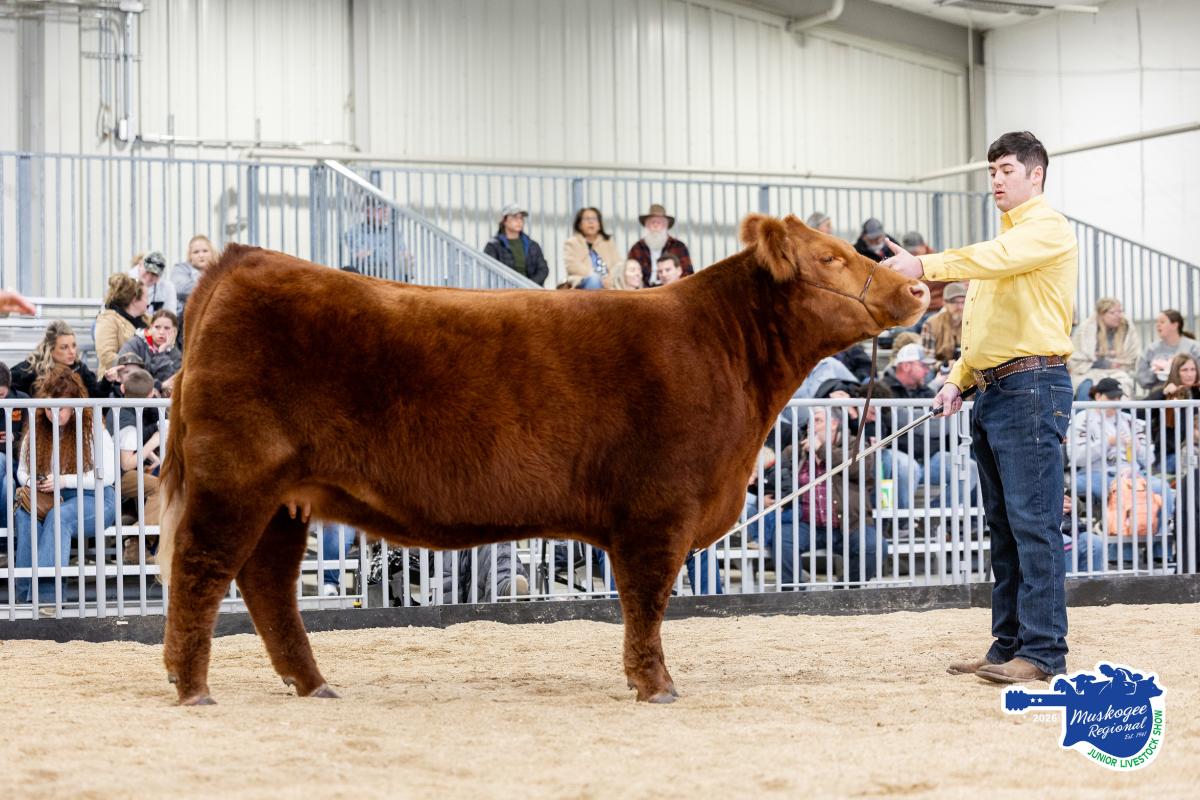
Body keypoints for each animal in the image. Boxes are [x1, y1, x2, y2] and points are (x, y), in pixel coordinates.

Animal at [158, 213, 928, 705]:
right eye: (831, 259)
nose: (917, 287)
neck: (725, 353)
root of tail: (244, 261)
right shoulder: (657, 511)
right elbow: (647, 604)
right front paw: (655, 686)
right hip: (238, 477)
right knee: (200, 571)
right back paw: (192, 688)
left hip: (285, 499)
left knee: (267, 584)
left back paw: (312, 684)